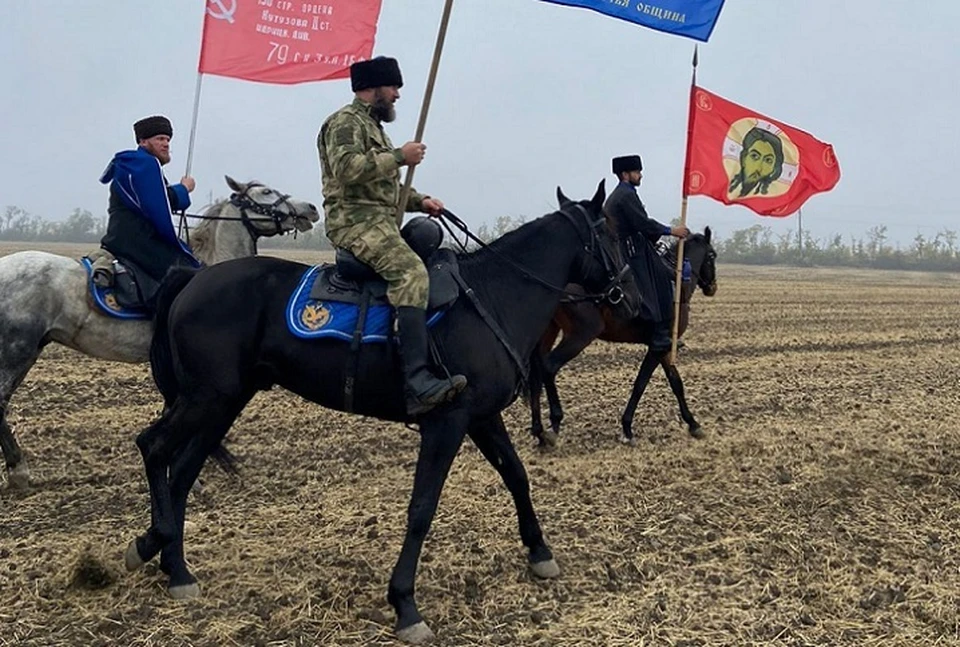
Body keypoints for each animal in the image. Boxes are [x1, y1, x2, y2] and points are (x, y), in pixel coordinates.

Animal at [125, 181, 636, 644]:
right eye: (611, 234)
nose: (628, 294)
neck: (492, 296)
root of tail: (194, 278)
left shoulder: (481, 418)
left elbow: (516, 475)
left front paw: (539, 551)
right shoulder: (446, 424)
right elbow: (422, 509)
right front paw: (405, 604)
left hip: (222, 402)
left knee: (182, 472)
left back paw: (170, 561)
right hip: (206, 399)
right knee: (154, 448)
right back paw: (161, 550)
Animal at [528, 230, 716, 448]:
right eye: (712, 256)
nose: (712, 287)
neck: (677, 282)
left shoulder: (664, 348)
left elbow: (676, 383)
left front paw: (693, 424)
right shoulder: (658, 347)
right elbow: (641, 384)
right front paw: (627, 428)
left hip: (548, 332)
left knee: (536, 373)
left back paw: (539, 431)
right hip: (579, 336)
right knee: (549, 367)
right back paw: (554, 424)